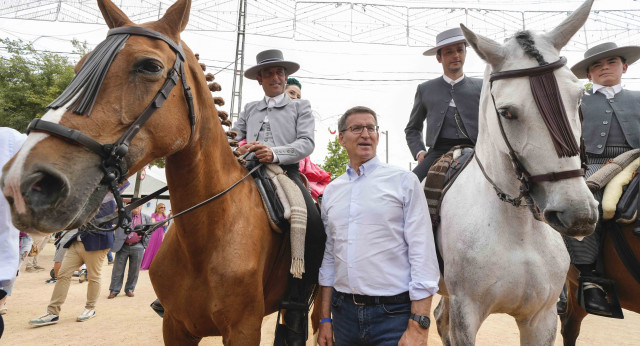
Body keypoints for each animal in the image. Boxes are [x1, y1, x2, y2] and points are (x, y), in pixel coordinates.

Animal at [0, 0, 308, 342]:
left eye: (149, 66)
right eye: (79, 68)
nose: (24, 183)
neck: (204, 239)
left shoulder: (244, 330)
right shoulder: (175, 325)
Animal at [436, 1, 600, 344]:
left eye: (579, 97)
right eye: (507, 113)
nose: (578, 215)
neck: (519, 230)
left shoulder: (542, 318)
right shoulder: (466, 313)